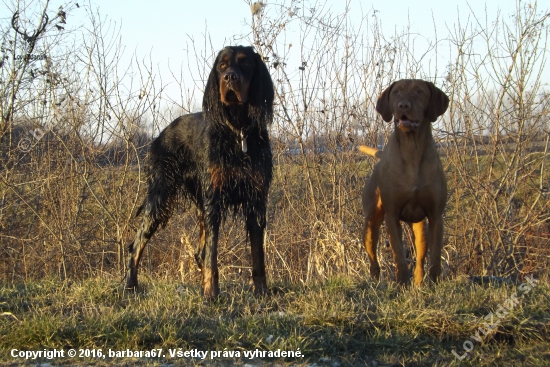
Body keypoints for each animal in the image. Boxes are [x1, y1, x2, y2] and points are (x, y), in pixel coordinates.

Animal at [124, 46, 272, 300]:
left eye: (245, 63)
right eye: (222, 66)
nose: (229, 78)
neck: (237, 132)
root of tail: (161, 134)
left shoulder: (256, 199)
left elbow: (257, 254)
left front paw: (261, 291)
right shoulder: (214, 199)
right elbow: (212, 254)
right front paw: (211, 293)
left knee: (198, 251)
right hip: (161, 195)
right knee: (138, 242)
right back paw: (131, 284)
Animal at [362, 80, 448, 288]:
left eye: (419, 91)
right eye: (397, 92)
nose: (403, 106)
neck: (412, 150)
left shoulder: (436, 216)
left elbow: (435, 255)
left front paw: (434, 282)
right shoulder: (392, 215)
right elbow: (398, 255)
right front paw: (401, 282)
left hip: (419, 227)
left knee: (420, 258)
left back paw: (418, 283)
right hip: (370, 223)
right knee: (373, 258)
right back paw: (375, 282)